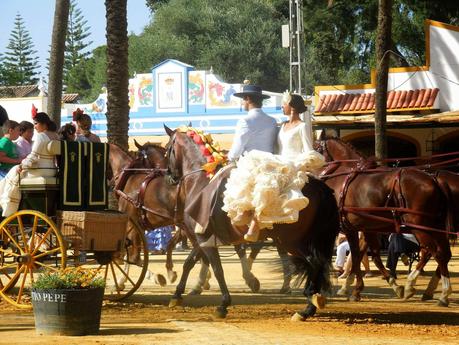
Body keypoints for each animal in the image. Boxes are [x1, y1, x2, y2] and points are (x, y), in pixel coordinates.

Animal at [163, 125, 342, 318]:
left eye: (167, 149)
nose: (169, 177)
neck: (201, 182)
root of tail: (319, 186)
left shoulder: (203, 237)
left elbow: (218, 269)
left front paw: (223, 304)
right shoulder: (202, 237)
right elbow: (189, 263)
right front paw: (177, 295)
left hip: (293, 241)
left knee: (314, 263)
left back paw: (308, 306)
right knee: (316, 264)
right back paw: (311, 301)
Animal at [316, 136, 452, 306]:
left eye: (316, 149)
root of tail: (434, 180)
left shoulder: (350, 228)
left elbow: (357, 255)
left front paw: (355, 287)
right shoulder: (367, 227)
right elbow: (369, 255)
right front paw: (354, 287)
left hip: (420, 226)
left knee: (434, 252)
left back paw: (436, 291)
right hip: (436, 226)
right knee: (444, 253)